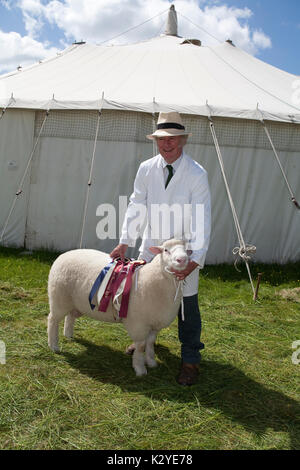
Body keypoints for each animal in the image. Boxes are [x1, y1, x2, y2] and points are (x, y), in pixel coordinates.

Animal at [47, 239, 189, 374]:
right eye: (166, 250)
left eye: (187, 249)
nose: (182, 259)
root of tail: (64, 255)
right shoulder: (138, 324)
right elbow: (141, 346)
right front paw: (139, 368)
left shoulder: (155, 324)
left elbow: (150, 343)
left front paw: (151, 362)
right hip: (59, 298)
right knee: (52, 320)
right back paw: (53, 346)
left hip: (76, 302)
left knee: (70, 316)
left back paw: (68, 335)